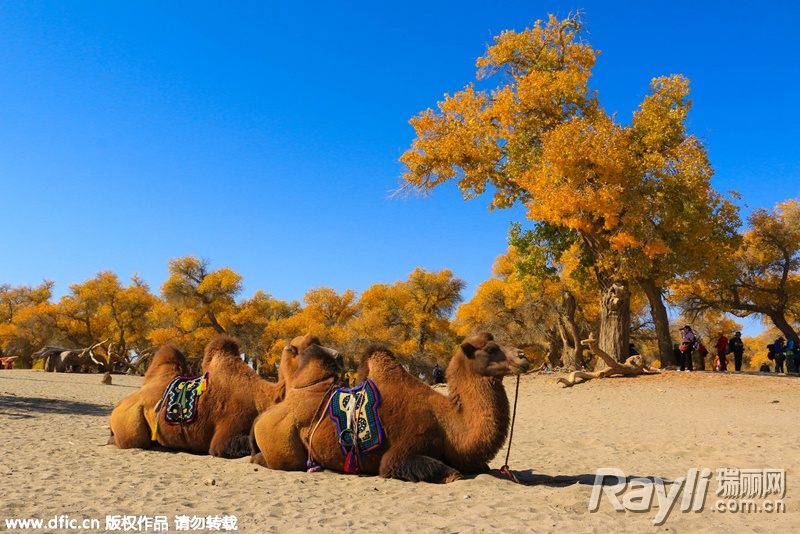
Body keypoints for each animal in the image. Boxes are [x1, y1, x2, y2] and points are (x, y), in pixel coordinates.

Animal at [108, 336, 340, 460]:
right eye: (306, 347)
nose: (339, 356)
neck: (264, 397)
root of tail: (119, 404)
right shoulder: (226, 434)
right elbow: (228, 446)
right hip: (130, 422)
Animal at [252, 332, 532, 484]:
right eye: (491, 349)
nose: (523, 357)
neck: (449, 424)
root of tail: (261, 418)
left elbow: (481, 467)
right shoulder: (404, 449)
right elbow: (453, 474)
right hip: (282, 445)